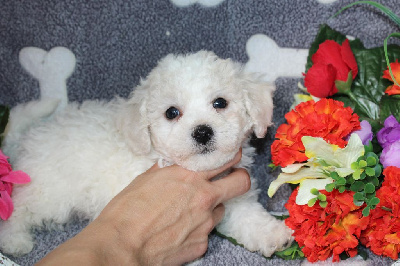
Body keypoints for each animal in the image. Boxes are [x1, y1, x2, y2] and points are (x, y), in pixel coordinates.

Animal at [0, 50, 292, 258]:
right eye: (171, 112)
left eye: (220, 103)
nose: (202, 132)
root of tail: (26, 137)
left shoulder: (232, 197)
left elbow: (247, 217)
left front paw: (272, 234)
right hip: (46, 191)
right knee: (17, 209)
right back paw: (14, 240)